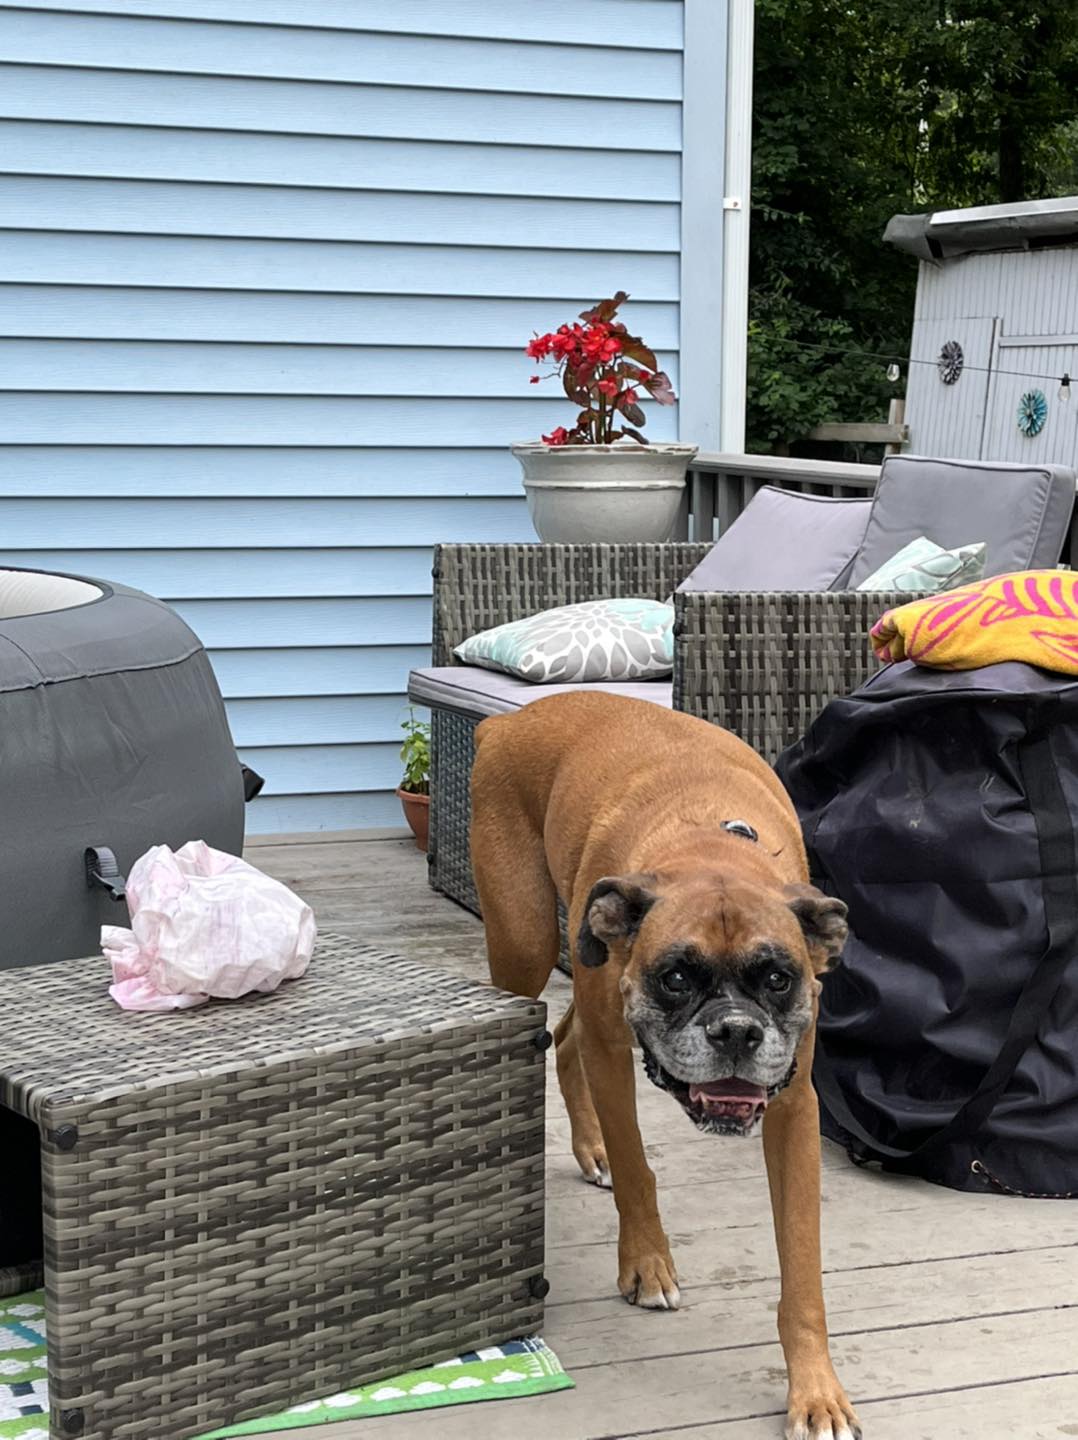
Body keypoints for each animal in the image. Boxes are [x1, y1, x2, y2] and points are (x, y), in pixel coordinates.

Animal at [471, 691, 860, 1440]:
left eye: (777, 979)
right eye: (677, 977)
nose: (736, 1030)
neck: (706, 845)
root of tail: (507, 720)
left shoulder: (794, 1106)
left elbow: (802, 1268)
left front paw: (816, 1391)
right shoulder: (615, 1053)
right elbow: (637, 1169)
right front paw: (647, 1265)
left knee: (565, 1037)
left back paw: (588, 1149)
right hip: (528, 943)